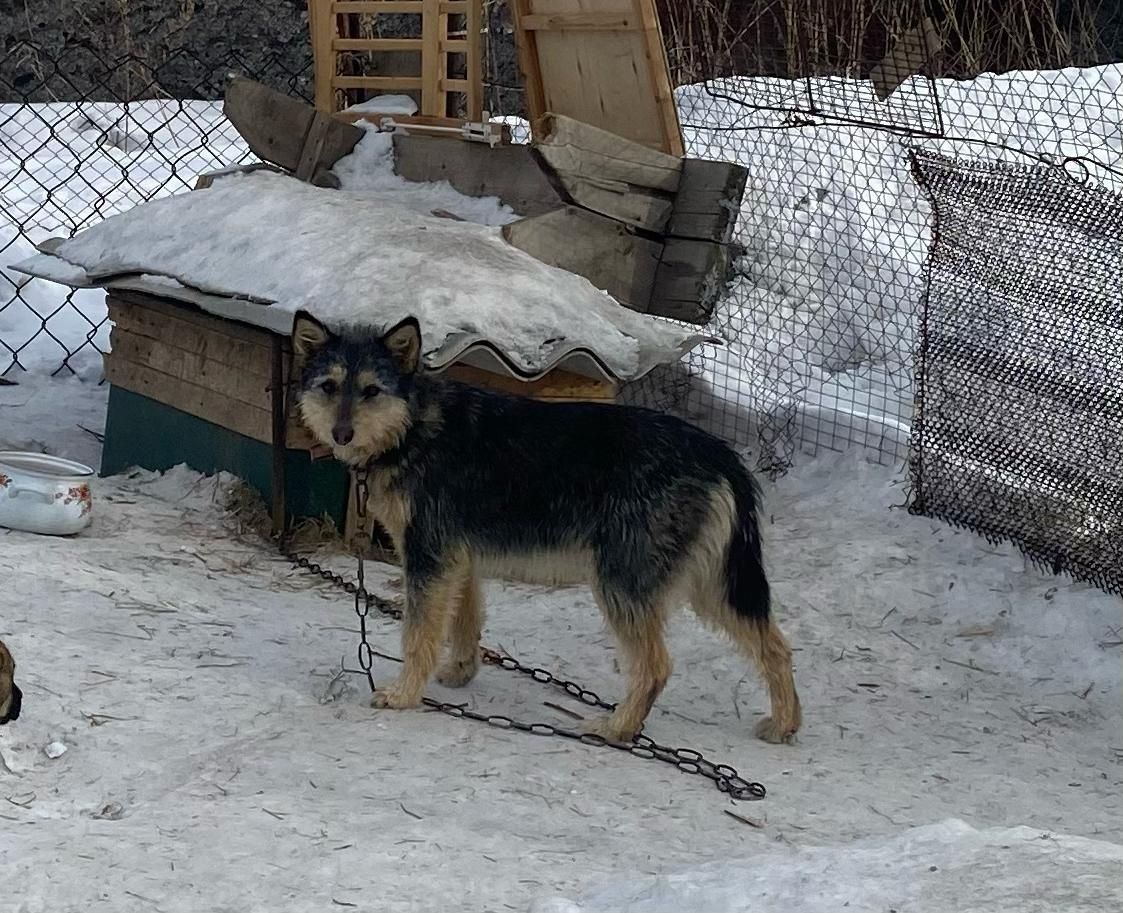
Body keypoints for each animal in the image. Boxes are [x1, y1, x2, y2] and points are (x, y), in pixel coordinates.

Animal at [289, 314, 799, 741]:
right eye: (329, 386)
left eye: (372, 390)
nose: (340, 434)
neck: (413, 429)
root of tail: (717, 452)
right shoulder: (459, 561)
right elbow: (464, 623)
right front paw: (460, 672)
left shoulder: (428, 559)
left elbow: (418, 636)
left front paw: (403, 695)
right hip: (715, 588)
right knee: (776, 646)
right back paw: (784, 724)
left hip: (622, 586)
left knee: (657, 666)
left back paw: (617, 727)